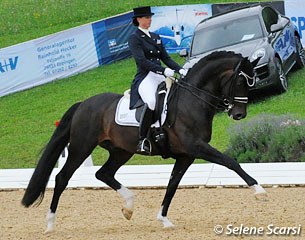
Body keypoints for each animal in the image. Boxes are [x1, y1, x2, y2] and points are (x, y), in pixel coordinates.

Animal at [21, 51, 264, 232]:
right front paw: (259, 190)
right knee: (62, 178)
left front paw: (164, 219)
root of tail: (83, 104)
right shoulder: (197, 147)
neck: (192, 100)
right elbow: (230, 161)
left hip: (121, 151)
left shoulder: (186, 155)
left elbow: (172, 184)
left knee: (104, 174)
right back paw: (50, 224)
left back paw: (128, 206)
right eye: (240, 80)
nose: (239, 114)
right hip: (81, 147)